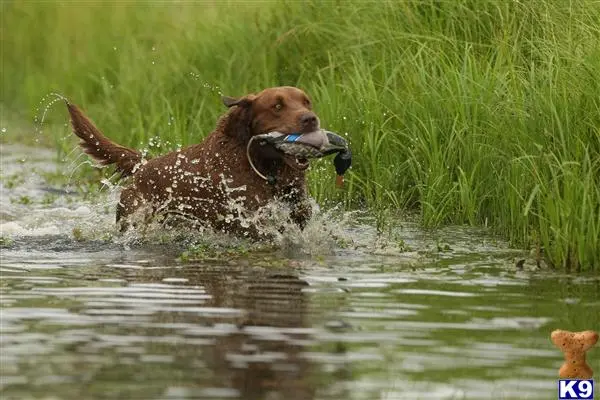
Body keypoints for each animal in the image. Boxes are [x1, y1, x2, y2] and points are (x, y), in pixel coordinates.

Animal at [66, 86, 322, 238]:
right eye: (277, 106)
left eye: (307, 102)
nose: (311, 119)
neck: (263, 165)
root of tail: (143, 166)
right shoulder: (244, 215)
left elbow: (300, 213)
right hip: (133, 214)